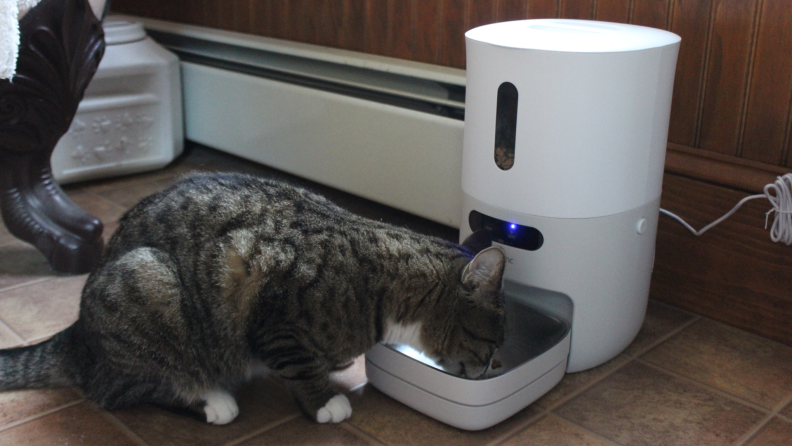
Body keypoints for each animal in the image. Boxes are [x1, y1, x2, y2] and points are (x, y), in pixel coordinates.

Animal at [0, 172, 508, 426]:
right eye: (494, 343)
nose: (490, 370)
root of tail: (77, 336)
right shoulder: (274, 316)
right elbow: (299, 366)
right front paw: (325, 402)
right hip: (148, 279)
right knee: (125, 389)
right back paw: (211, 400)